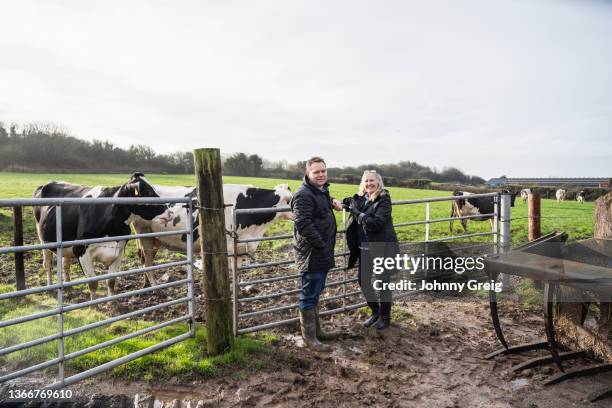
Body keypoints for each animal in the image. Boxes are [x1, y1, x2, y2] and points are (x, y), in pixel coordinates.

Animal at [32, 172, 167, 300]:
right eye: (148, 191)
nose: (167, 209)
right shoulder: (80, 250)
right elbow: (93, 283)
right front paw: (94, 305)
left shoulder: (119, 251)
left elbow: (111, 281)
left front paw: (112, 303)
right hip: (43, 239)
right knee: (48, 264)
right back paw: (50, 286)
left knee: (65, 263)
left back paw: (67, 284)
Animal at [133, 184, 294, 284]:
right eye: (291, 200)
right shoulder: (228, 247)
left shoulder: (240, 247)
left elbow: (237, 272)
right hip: (144, 235)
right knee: (147, 263)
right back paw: (155, 286)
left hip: (154, 240)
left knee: (146, 261)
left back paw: (147, 284)